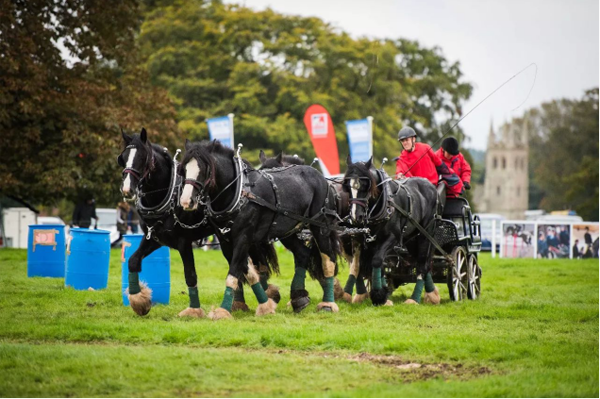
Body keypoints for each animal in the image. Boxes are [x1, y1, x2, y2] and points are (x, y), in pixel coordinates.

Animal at [117, 131, 278, 318]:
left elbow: (190, 274)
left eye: (142, 158)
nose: (127, 189)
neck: (169, 195)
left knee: (258, 264)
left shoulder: (183, 242)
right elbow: (133, 261)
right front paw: (139, 301)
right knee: (243, 264)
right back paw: (244, 302)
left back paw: (269, 296)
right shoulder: (155, 238)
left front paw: (193, 310)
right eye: (123, 158)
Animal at [179, 142, 342, 320]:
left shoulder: (244, 238)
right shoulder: (226, 241)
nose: (186, 201)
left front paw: (223, 310)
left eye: (205, 170)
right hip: (287, 232)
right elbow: (247, 272)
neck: (239, 193)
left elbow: (233, 274)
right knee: (302, 253)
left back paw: (328, 303)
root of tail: (321, 178)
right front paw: (264, 304)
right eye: (183, 169)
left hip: (320, 227)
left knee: (328, 261)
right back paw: (298, 297)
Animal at [342, 156, 440, 306]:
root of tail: (430, 186)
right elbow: (358, 266)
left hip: (425, 235)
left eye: (365, 185)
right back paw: (432, 294)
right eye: (347, 186)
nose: (355, 216)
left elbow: (377, 260)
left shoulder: (393, 238)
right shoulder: (360, 239)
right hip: (411, 239)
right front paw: (378, 292)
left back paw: (414, 299)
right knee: (423, 263)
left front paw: (378, 295)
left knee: (422, 264)